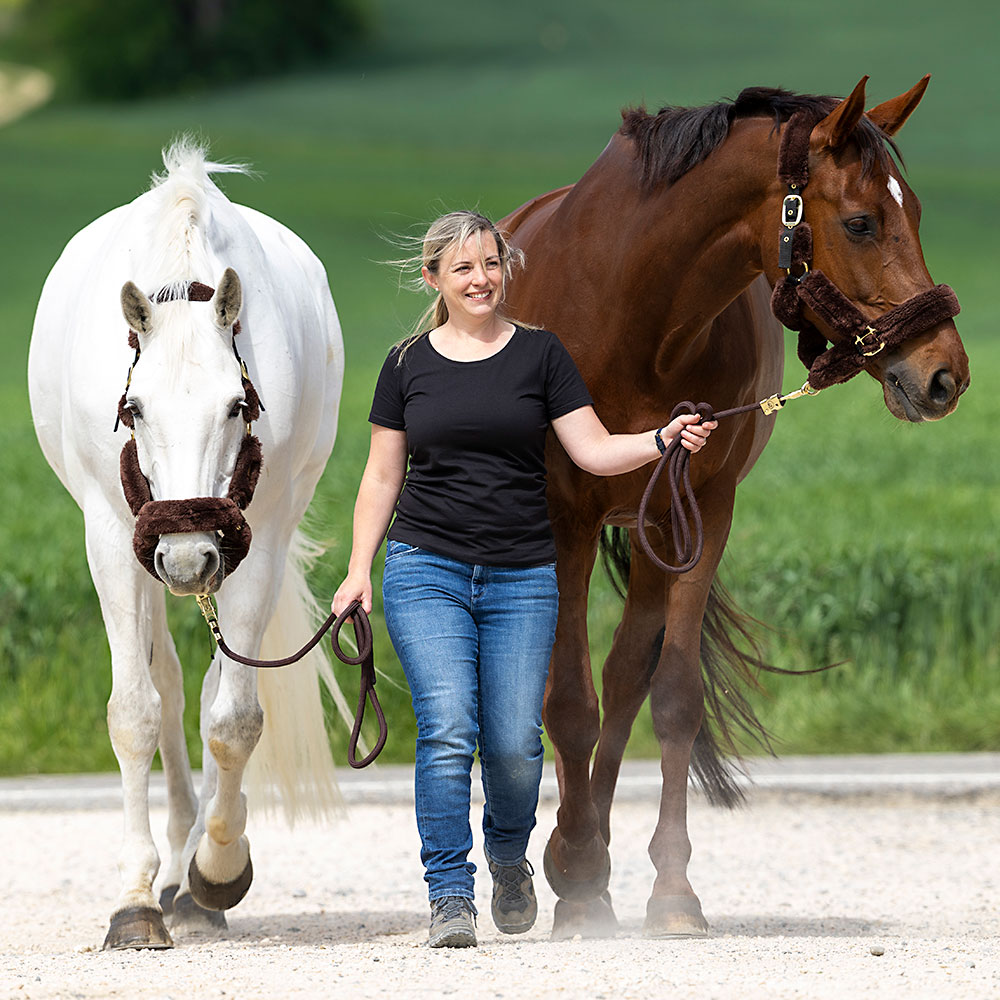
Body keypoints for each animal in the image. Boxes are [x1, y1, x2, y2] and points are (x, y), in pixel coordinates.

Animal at [27, 141, 346, 950]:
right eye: (134, 407)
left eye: (237, 405)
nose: (185, 556)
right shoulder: (113, 539)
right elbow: (135, 711)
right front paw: (136, 899)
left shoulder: (255, 542)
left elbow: (234, 719)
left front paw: (218, 868)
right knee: (167, 685)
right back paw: (170, 867)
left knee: (209, 689)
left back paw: (195, 871)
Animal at [500, 76, 969, 939]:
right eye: (861, 221)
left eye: (915, 211)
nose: (944, 374)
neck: (632, 307)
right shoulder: (564, 519)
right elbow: (566, 700)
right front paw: (575, 880)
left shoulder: (702, 510)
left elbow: (672, 697)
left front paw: (665, 889)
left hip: (655, 531)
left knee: (627, 680)